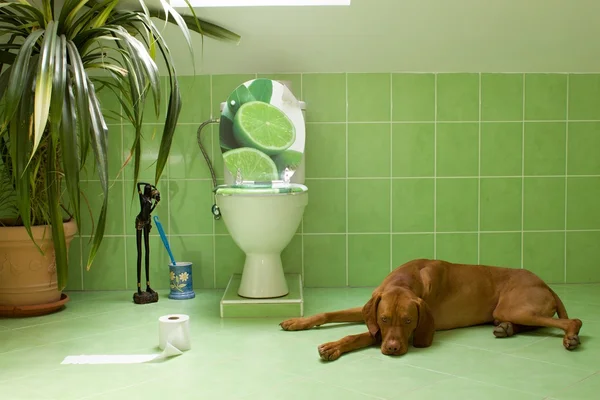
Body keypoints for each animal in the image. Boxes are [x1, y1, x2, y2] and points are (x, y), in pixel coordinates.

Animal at [278, 258, 584, 360]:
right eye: (384, 318)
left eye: (409, 321)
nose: (393, 349)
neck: (405, 279)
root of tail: (544, 283)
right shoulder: (371, 310)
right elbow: (328, 313)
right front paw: (297, 321)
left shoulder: (416, 328)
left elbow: (360, 335)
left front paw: (333, 347)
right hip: (507, 311)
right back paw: (506, 329)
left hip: (515, 307)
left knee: (574, 321)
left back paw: (571, 336)